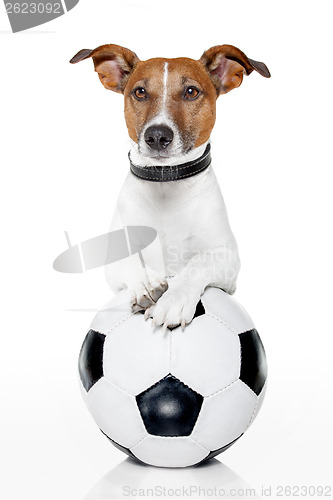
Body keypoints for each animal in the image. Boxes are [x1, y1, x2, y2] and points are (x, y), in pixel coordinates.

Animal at [70, 44, 270, 332]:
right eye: (140, 92)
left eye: (191, 92)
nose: (156, 136)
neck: (166, 183)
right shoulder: (114, 261)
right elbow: (131, 259)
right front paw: (146, 283)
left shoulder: (228, 260)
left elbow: (198, 262)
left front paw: (174, 300)